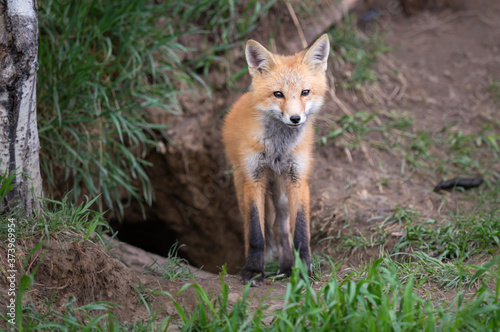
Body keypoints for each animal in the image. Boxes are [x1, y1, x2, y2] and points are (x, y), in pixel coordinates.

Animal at [224, 33, 332, 286]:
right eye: (278, 94)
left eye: (305, 92)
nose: (295, 118)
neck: (277, 150)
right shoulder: (254, 178)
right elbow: (255, 232)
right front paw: (254, 270)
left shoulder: (298, 178)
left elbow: (301, 233)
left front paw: (304, 271)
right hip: (242, 184)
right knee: (252, 226)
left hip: (281, 194)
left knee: (281, 228)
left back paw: (285, 269)